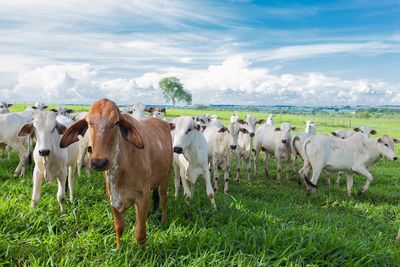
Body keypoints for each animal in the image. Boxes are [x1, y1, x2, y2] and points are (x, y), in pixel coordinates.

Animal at [59, 99, 172, 249]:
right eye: (89, 122)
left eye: (116, 122)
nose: (99, 162)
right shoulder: (112, 197)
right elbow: (119, 227)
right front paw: (119, 249)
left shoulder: (143, 197)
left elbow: (140, 233)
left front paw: (143, 252)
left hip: (165, 178)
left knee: (164, 198)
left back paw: (164, 220)